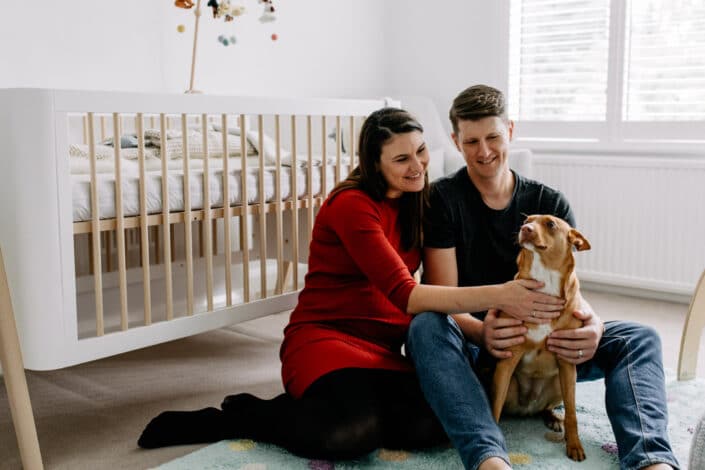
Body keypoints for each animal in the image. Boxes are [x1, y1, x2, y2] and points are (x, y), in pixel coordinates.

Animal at [490, 214, 588, 462]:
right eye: (526, 220)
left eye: (550, 224)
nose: (525, 229)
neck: (546, 282)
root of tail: (528, 408)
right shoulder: (507, 360)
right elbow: (493, 408)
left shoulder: (567, 363)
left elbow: (573, 414)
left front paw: (574, 444)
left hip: (561, 384)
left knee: (553, 407)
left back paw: (553, 419)